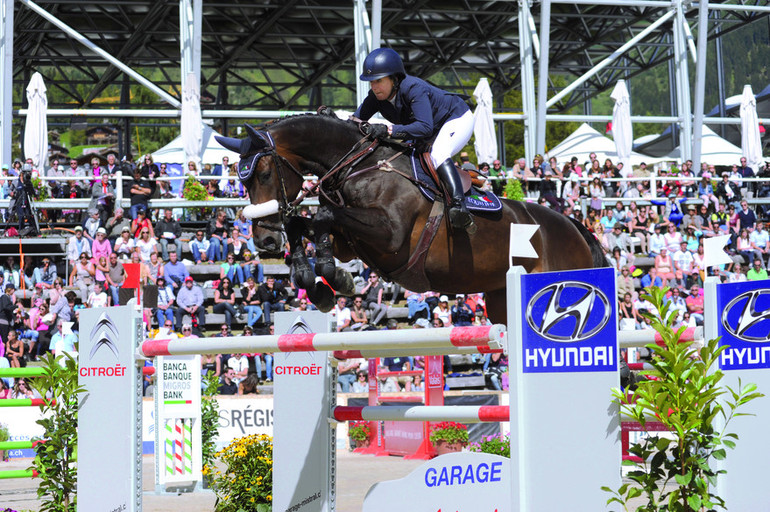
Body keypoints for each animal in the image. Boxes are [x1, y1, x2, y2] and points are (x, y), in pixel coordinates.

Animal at [213, 110, 604, 322]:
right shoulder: (349, 242)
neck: (357, 165)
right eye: (240, 180)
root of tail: (575, 227)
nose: (264, 240)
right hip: (500, 301)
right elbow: (306, 223)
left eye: (265, 174)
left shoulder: (390, 235)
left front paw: (331, 276)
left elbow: (323, 216)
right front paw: (315, 280)